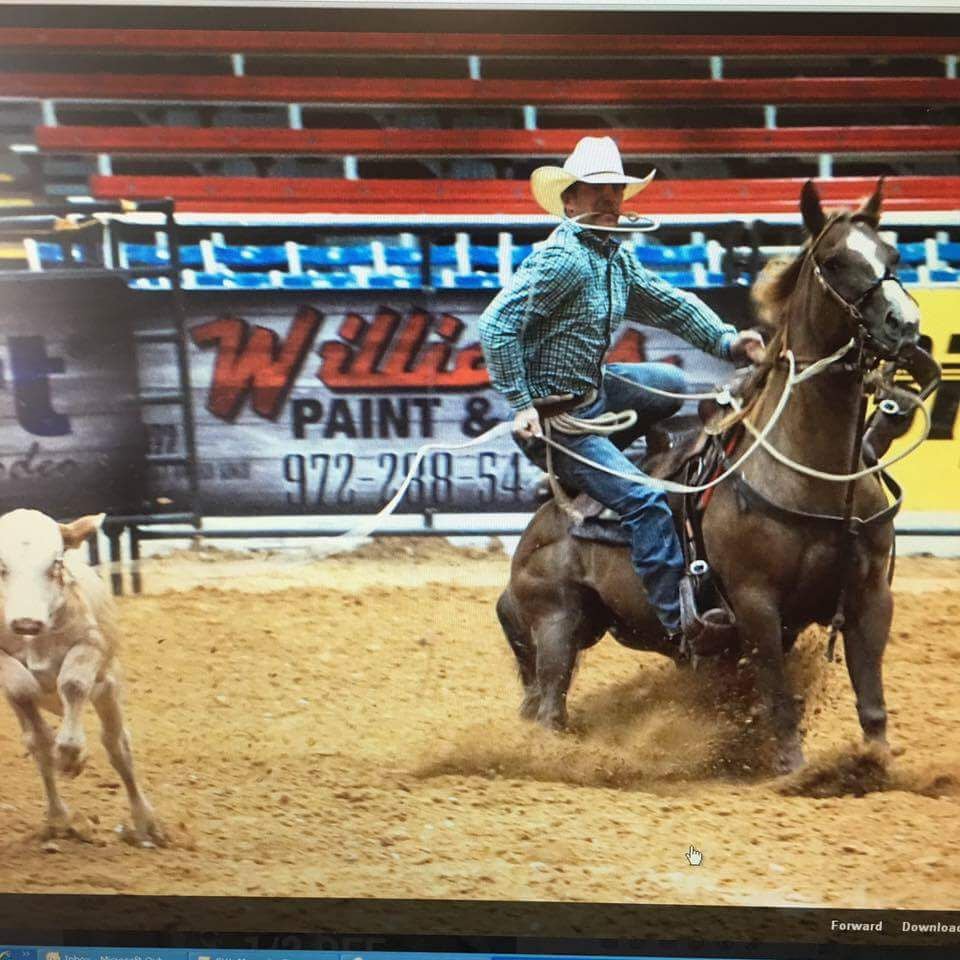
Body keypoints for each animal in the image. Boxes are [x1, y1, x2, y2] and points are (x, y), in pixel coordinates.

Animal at [0, 506, 166, 844]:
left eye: (56, 563)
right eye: (1, 566)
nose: (26, 622)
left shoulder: (90, 645)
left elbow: (73, 684)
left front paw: (71, 754)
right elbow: (22, 690)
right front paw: (54, 745)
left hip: (109, 687)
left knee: (117, 746)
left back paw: (145, 822)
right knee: (36, 741)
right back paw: (59, 819)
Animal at [496, 180, 924, 772]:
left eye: (894, 255)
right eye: (836, 261)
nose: (904, 325)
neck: (815, 475)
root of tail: (536, 529)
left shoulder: (868, 595)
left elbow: (872, 698)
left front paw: (875, 765)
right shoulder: (756, 604)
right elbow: (777, 696)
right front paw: (793, 772)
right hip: (556, 625)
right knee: (548, 712)